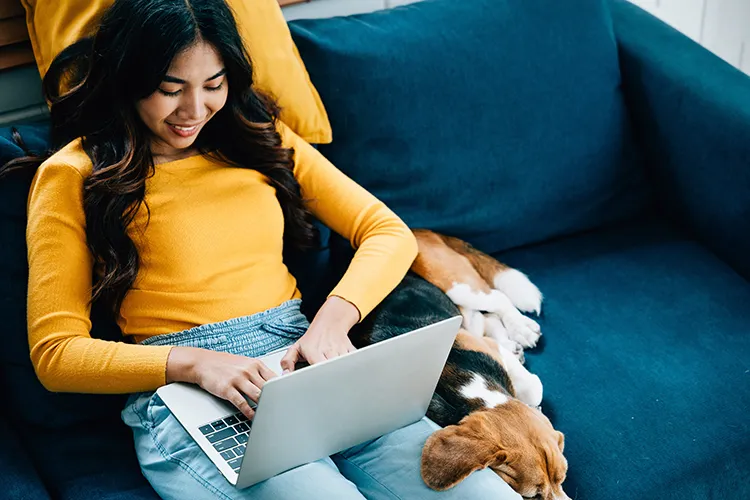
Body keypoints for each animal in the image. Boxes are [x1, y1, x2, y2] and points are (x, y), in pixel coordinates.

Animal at [352, 230, 568, 500]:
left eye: (562, 477)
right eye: (532, 496)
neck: (471, 388)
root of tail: (422, 231)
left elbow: (532, 388)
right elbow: (533, 387)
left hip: (459, 287)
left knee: (496, 303)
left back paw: (521, 329)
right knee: (489, 312)